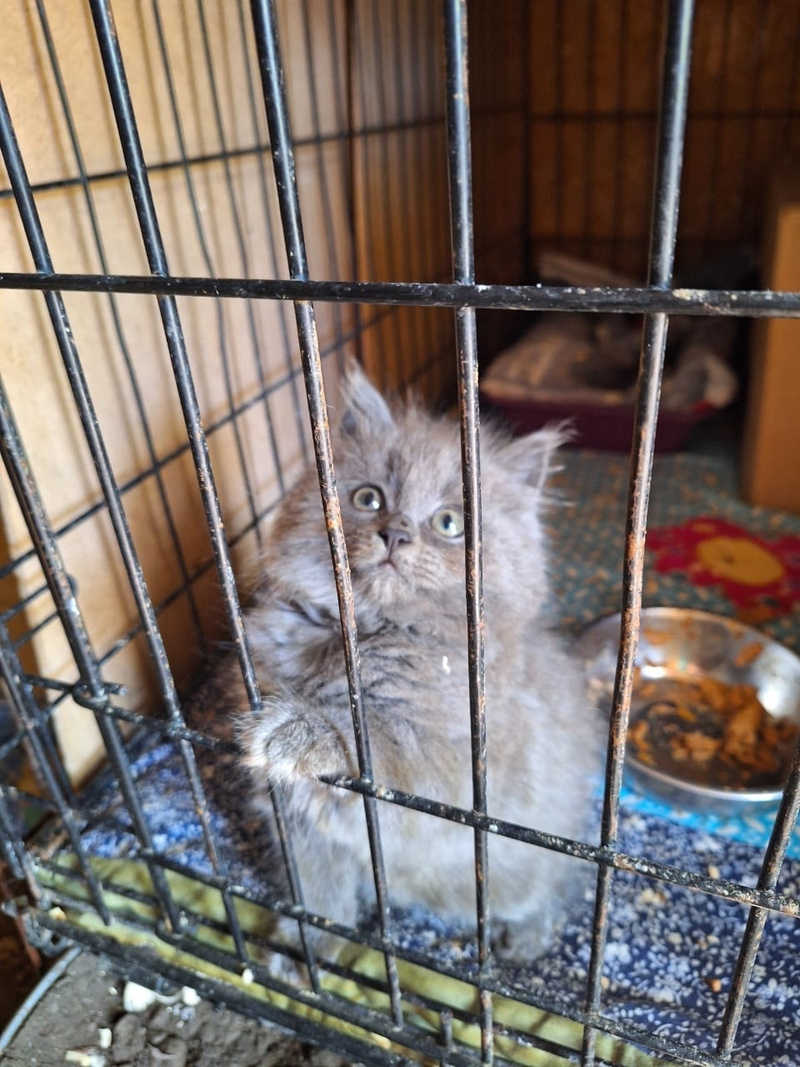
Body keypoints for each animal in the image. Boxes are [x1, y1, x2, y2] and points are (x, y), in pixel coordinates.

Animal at [226, 362, 605, 971]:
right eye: (368, 498)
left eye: (449, 523)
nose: (396, 533)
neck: (357, 635)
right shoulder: (297, 824)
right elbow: (321, 892)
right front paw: (313, 947)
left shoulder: (452, 772)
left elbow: (376, 748)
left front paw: (299, 731)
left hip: (516, 869)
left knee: (550, 890)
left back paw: (526, 939)